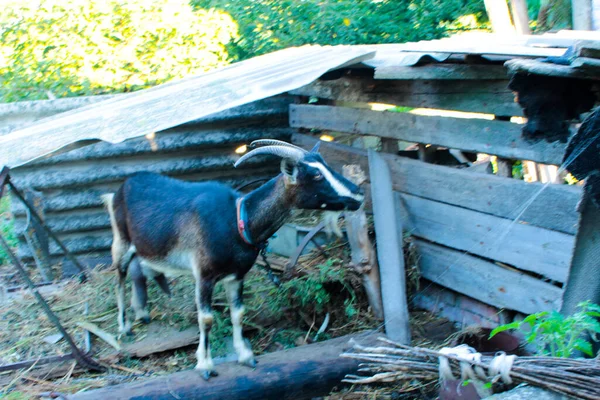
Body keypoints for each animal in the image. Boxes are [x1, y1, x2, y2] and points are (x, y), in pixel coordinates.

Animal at [101, 138, 364, 378]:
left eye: (326, 165)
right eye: (316, 175)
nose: (359, 193)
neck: (238, 219)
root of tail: (118, 190)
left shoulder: (237, 276)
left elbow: (238, 314)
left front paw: (246, 356)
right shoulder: (204, 275)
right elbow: (206, 319)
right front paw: (205, 365)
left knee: (138, 269)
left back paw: (142, 313)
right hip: (121, 240)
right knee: (119, 278)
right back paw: (124, 327)